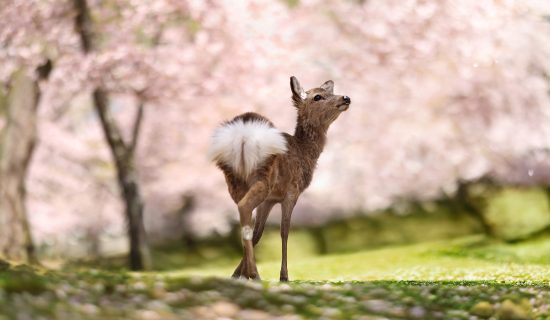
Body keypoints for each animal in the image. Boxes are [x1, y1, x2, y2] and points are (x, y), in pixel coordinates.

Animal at [209, 77, 352, 280]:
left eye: (331, 92)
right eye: (318, 96)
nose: (346, 97)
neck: (304, 152)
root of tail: (242, 136)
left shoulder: (269, 200)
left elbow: (258, 233)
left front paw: (236, 274)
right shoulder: (292, 191)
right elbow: (284, 231)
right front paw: (283, 276)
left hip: (234, 180)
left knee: (243, 216)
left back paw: (250, 273)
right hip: (263, 176)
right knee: (244, 207)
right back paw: (255, 274)